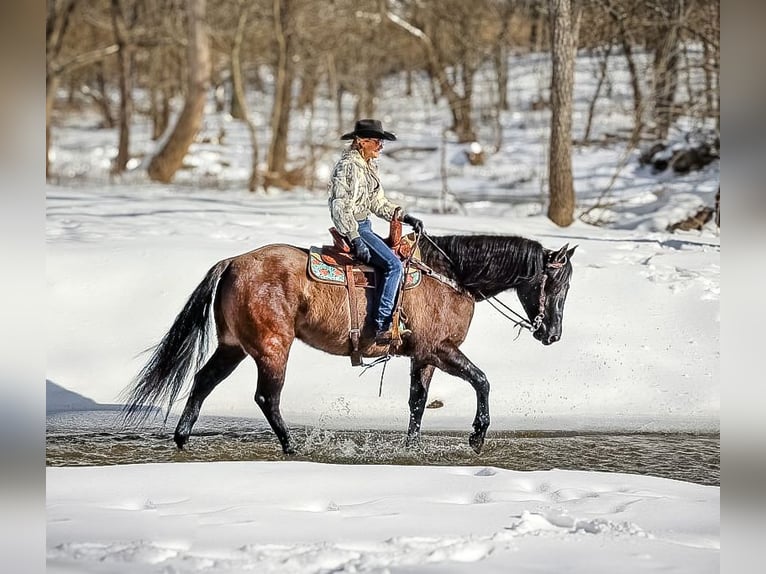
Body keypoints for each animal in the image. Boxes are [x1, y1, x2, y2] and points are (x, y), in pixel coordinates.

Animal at [121, 233, 576, 454]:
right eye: (558, 284)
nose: (552, 334)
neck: (451, 276)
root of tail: (233, 262)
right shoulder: (440, 349)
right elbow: (482, 380)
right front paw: (477, 436)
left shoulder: (423, 357)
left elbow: (417, 401)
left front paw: (411, 447)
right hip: (272, 347)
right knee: (267, 397)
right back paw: (291, 446)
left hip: (233, 346)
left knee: (202, 382)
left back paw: (182, 439)